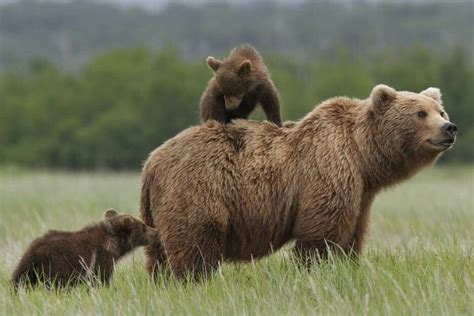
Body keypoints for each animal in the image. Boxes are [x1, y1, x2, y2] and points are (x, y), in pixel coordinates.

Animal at [140, 84, 456, 278]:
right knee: (195, 247)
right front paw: (314, 270)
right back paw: (193, 281)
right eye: (420, 113)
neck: (363, 157)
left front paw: (348, 266)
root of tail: (151, 162)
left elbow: (352, 235)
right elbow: (320, 235)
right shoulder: (327, 171)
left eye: (440, 111)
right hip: (198, 189)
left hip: (158, 209)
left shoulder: (361, 194)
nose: (449, 128)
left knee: (158, 254)